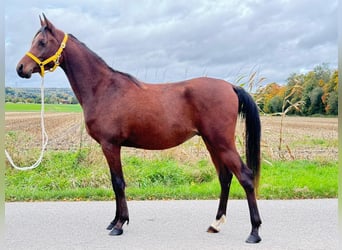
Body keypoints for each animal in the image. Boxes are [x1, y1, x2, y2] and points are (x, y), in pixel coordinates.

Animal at [16, 14, 262, 243]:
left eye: (42, 42)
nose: (20, 68)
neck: (103, 88)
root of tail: (230, 86)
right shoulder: (111, 147)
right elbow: (115, 182)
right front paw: (115, 221)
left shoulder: (110, 145)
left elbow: (118, 183)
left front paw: (119, 225)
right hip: (211, 142)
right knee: (225, 177)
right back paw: (216, 224)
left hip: (222, 142)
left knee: (245, 176)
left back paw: (254, 232)